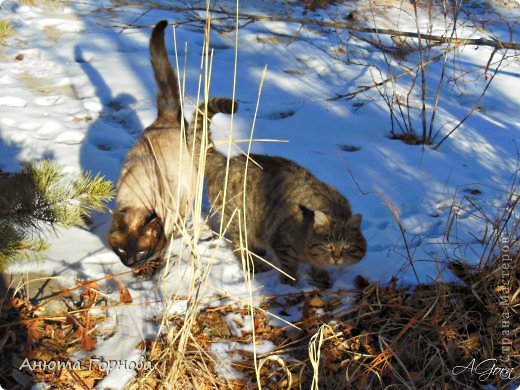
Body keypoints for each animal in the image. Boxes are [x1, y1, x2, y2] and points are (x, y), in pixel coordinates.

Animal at [106, 21, 196, 272]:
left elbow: (163, 246)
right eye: (121, 250)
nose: (129, 264)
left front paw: (150, 270)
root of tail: (165, 116)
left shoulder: (171, 218)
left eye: (141, 251)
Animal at [190, 97, 366, 286]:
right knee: (240, 246)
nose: (336, 258)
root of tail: (225, 161)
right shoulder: (282, 241)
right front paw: (290, 282)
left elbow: (318, 265)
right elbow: (289, 264)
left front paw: (320, 275)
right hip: (240, 221)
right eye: (328, 246)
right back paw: (254, 264)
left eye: (346, 247)